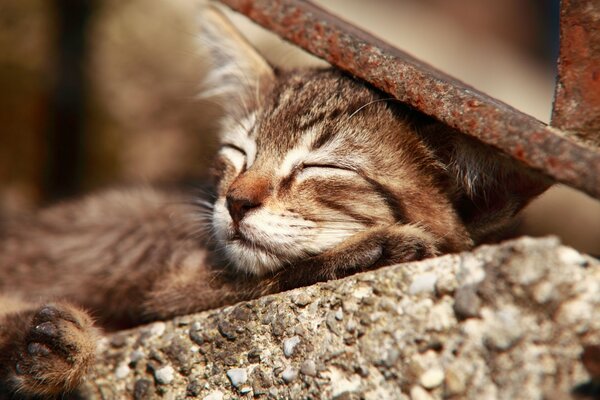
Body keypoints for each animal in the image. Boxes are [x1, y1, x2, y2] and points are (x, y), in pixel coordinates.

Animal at [0, 3, 548, 396]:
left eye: (321, 168)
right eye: (237, 153)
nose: (236, 202)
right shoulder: (164, 277)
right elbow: (257, 280)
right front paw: (371, 249)